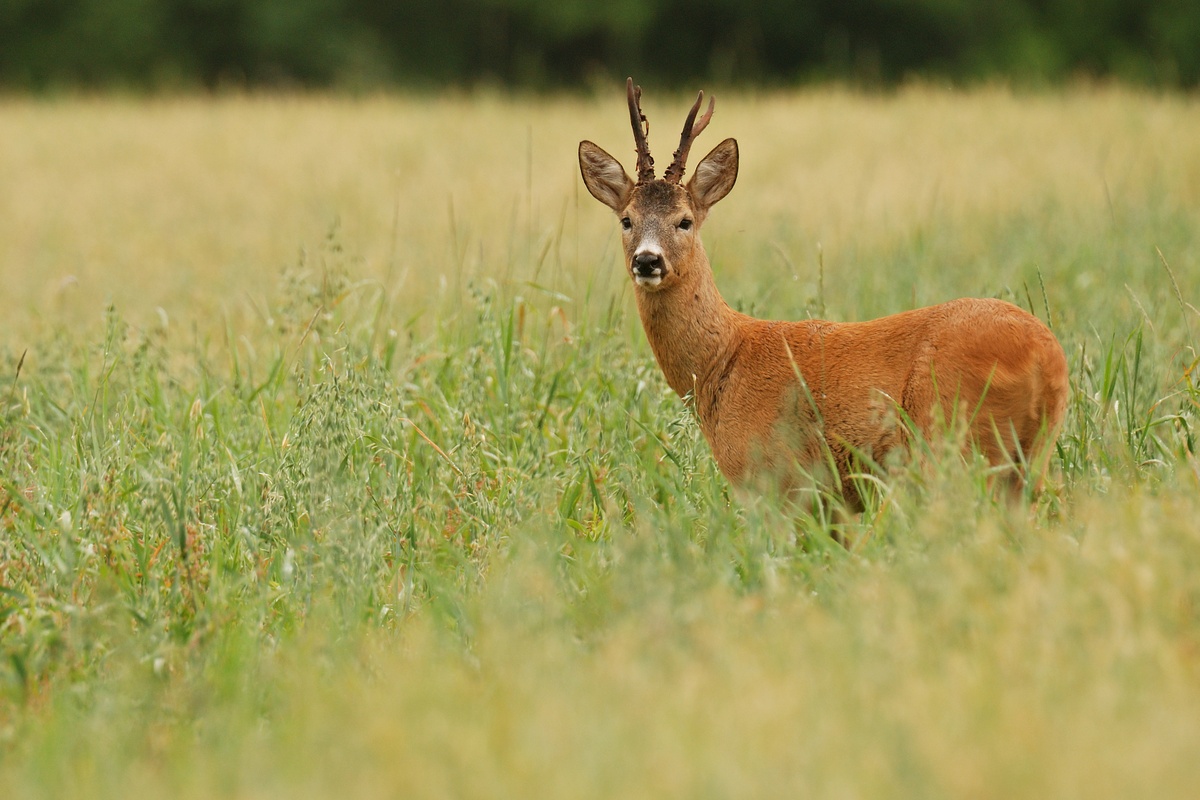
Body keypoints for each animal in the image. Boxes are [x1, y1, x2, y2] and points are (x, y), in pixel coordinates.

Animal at [578, 79, 1070, 511]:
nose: (648, 261)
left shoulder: (772, 479)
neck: (724, 361)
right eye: (626, 219)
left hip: (953, 441)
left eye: (684, 220)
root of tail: (1048, 359)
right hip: (1028, 460)